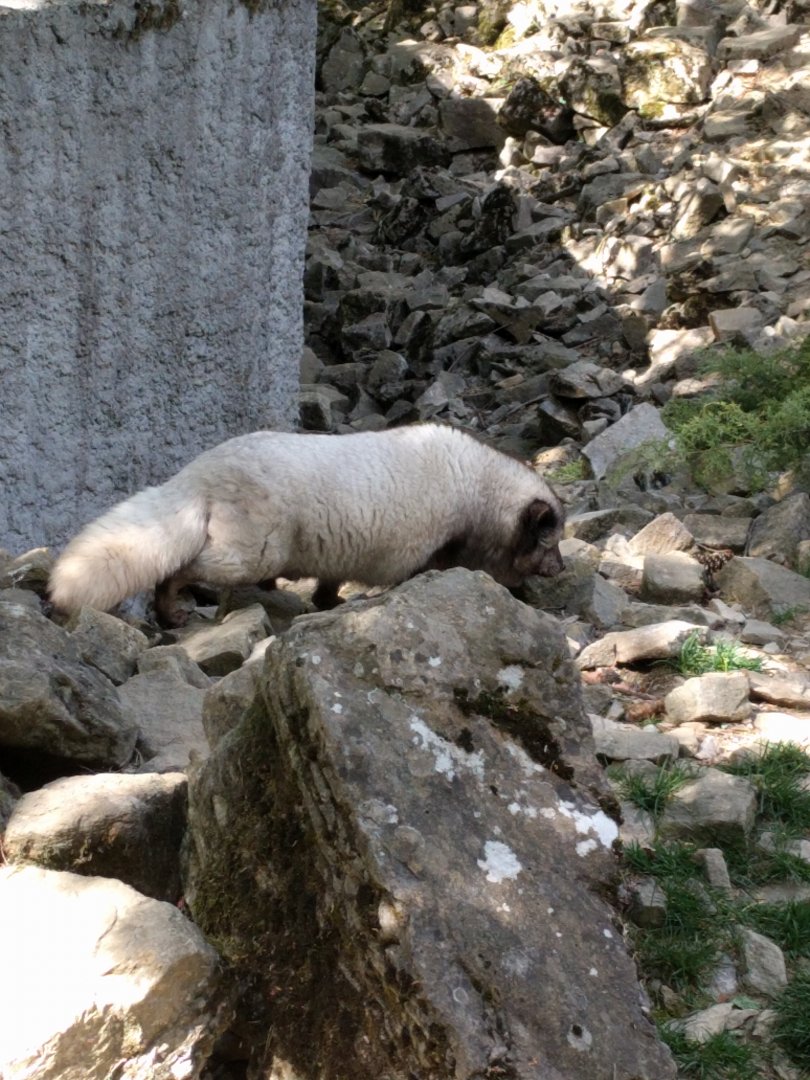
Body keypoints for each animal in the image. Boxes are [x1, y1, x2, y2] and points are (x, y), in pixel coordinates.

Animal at [49, 423, 565, 627]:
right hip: (253, 547)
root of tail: (198, 473)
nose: (560, 569)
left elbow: (329, 583)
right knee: (187, 567)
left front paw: (327, 602)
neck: (476, 491)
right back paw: (171, 609)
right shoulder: (431, 547)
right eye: (550, 541)